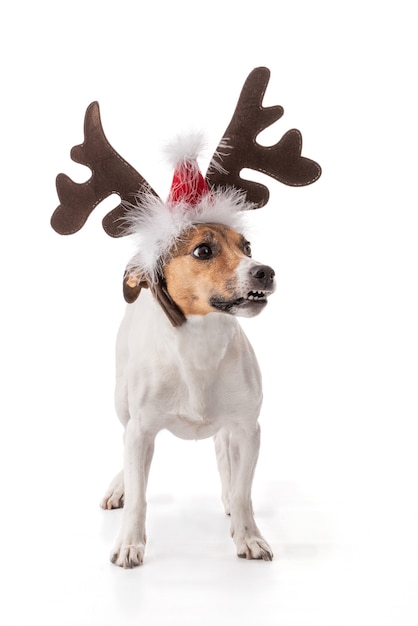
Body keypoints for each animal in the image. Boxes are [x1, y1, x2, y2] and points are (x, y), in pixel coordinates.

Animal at [50, 67, 322, 564]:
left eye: (247, 246)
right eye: (203, 250)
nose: (266, 270)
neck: (199, 349)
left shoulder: (249, 427)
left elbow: (243, 490)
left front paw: (248, 534)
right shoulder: (141, 430)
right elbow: (140, 494)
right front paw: (129, 543)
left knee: (225, 458)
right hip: (122, 404)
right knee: (127, 450)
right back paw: (119, 486)